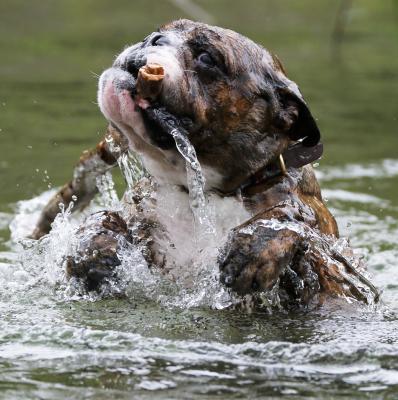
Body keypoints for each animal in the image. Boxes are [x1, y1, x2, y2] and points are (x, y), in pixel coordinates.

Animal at [31, 18, 380, 306]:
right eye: (158, 32)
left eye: (207, 58)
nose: (153, 39)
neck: (206, 193)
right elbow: (101, 219)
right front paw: (95, 249)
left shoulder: (331, 275)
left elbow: (292, 221)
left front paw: (253, 249)